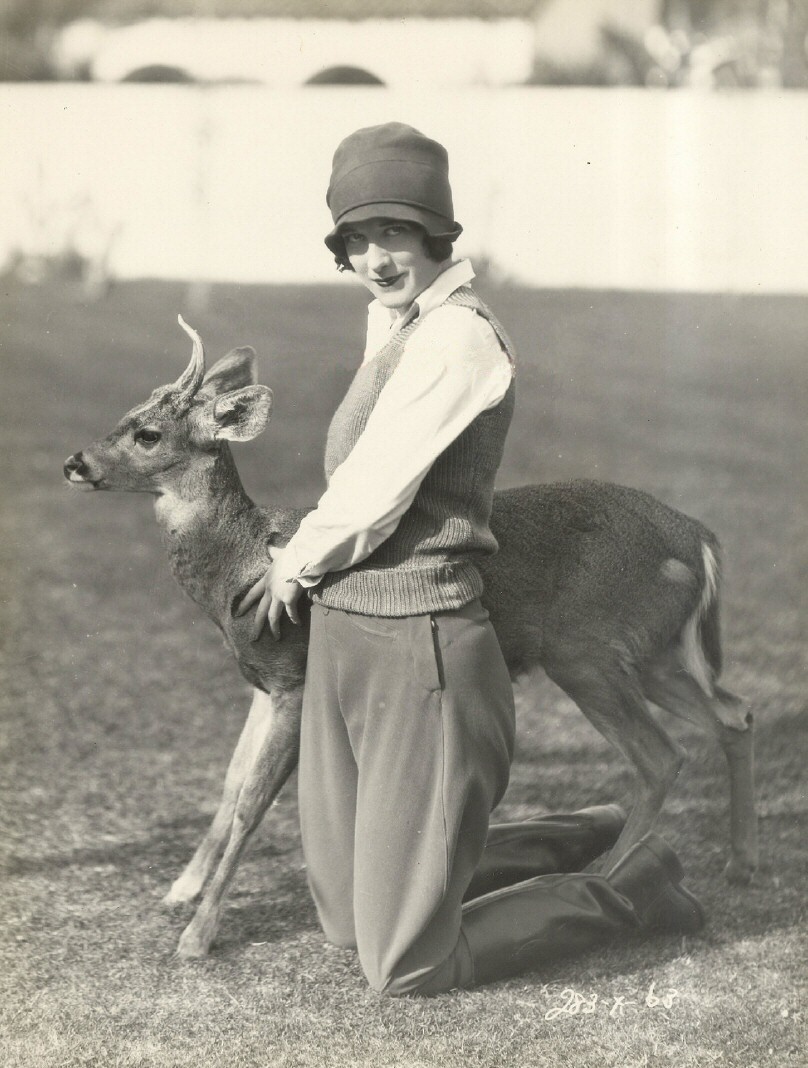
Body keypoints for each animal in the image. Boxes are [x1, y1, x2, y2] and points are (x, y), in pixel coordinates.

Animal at [62, 313, 755, 961]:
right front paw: (180, 890)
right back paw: (736, 864)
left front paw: (198, 936)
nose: (75, 462)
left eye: (148, 434)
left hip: (587, 651)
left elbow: (251, 802)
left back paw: (612, 880)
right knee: (734, 714)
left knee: (661, 755)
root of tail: (701, 538)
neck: (240, 566)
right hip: (654, 651)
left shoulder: (295, 678)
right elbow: (231, 782)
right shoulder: (261, 684)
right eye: (125, 415)